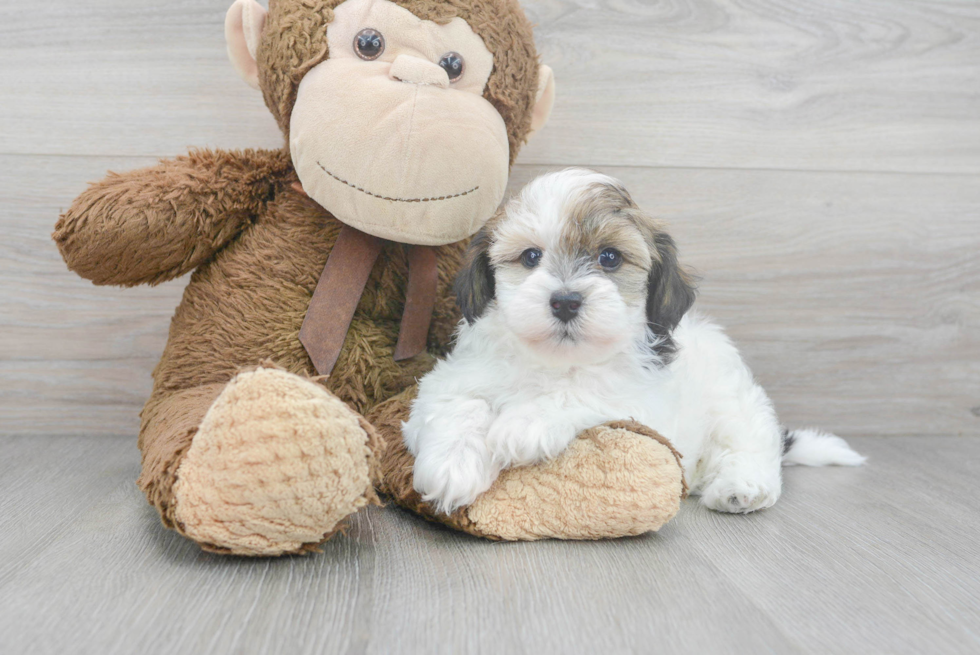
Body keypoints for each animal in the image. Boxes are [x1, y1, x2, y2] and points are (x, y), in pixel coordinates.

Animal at [402, 169, 860, 516]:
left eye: (610, 258)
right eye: (531, 257)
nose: (565, 301)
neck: (554, 361)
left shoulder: (641, 404)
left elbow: (584, 391)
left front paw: (523, 423)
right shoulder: (451, 378)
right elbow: (460, 403)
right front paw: (452, 465)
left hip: (735, 400)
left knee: (750, 443)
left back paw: (740, 488)